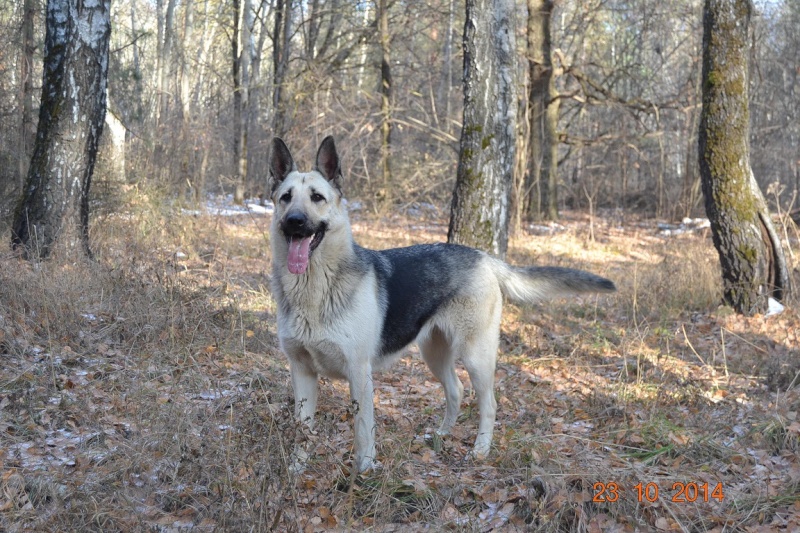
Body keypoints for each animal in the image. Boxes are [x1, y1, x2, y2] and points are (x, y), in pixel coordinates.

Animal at [270, 136, 620, 470]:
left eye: (317, 197)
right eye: (285, 197)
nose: (295, 221)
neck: (314, 288)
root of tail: (484, 257)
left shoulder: (359, 373)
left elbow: (363, 432)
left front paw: (364, 472)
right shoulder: (302, 372)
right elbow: (302, 430)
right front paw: (296, 471)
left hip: (476, 356)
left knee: (489, 403)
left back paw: (480, 450)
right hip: (434, 354)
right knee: (456, 390)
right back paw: (441, 434)